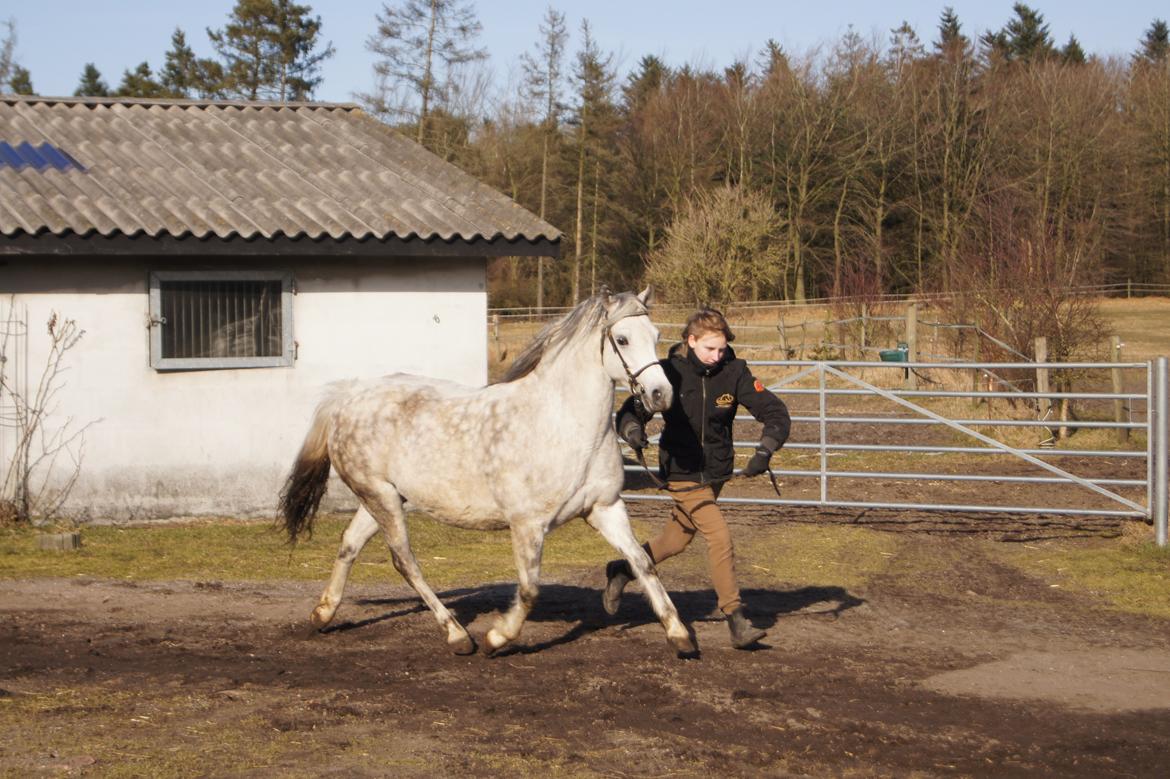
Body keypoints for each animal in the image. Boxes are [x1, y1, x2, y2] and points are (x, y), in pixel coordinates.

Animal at [278, 287, 696, 656]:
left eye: (656, 335)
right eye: (622, 339)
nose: (660, 395)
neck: (566, 425)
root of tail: (347, 398)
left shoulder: (604, 508)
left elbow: (643, 563)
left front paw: (680, 637)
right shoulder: (528, 524)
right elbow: (529, 589)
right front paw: (497, 638)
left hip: (383, 497)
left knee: (349, 544)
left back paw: (323, 614)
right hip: (381, 498)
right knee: (405, 561)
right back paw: (457, 636)